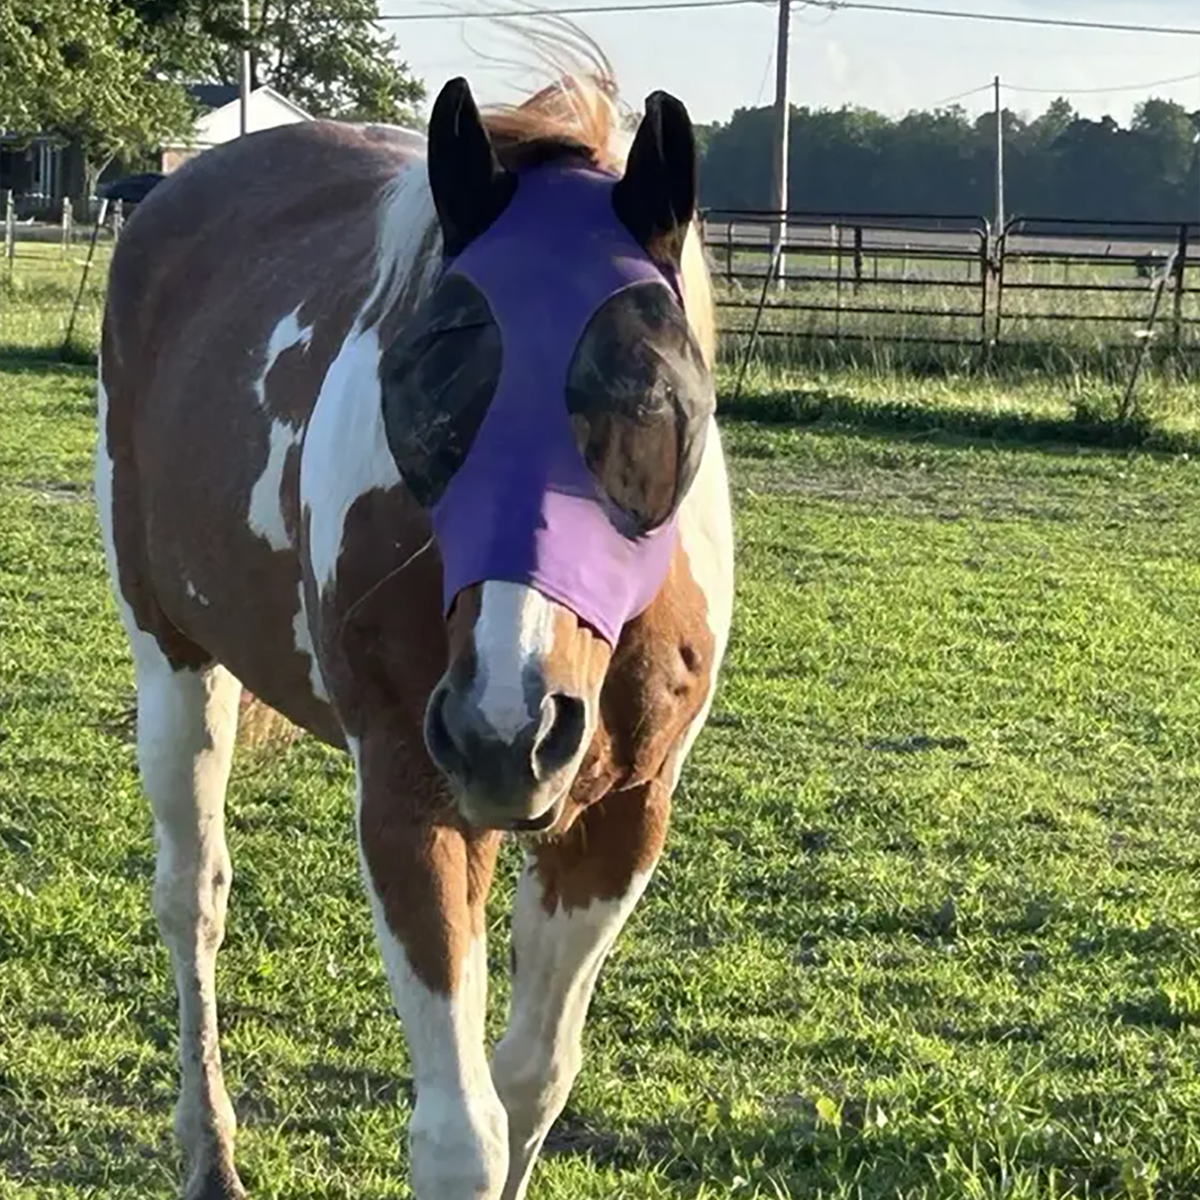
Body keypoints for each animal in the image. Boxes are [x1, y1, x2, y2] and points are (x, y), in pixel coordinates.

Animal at [95, 58, 734, 1200]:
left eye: (653, 393)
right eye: (424, 384)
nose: (504, 729)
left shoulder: (623, 816)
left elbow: (532, 1084)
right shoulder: (409, 798)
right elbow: (461, 1135)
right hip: (174, 662)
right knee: (192, 898)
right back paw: (209, 1153)